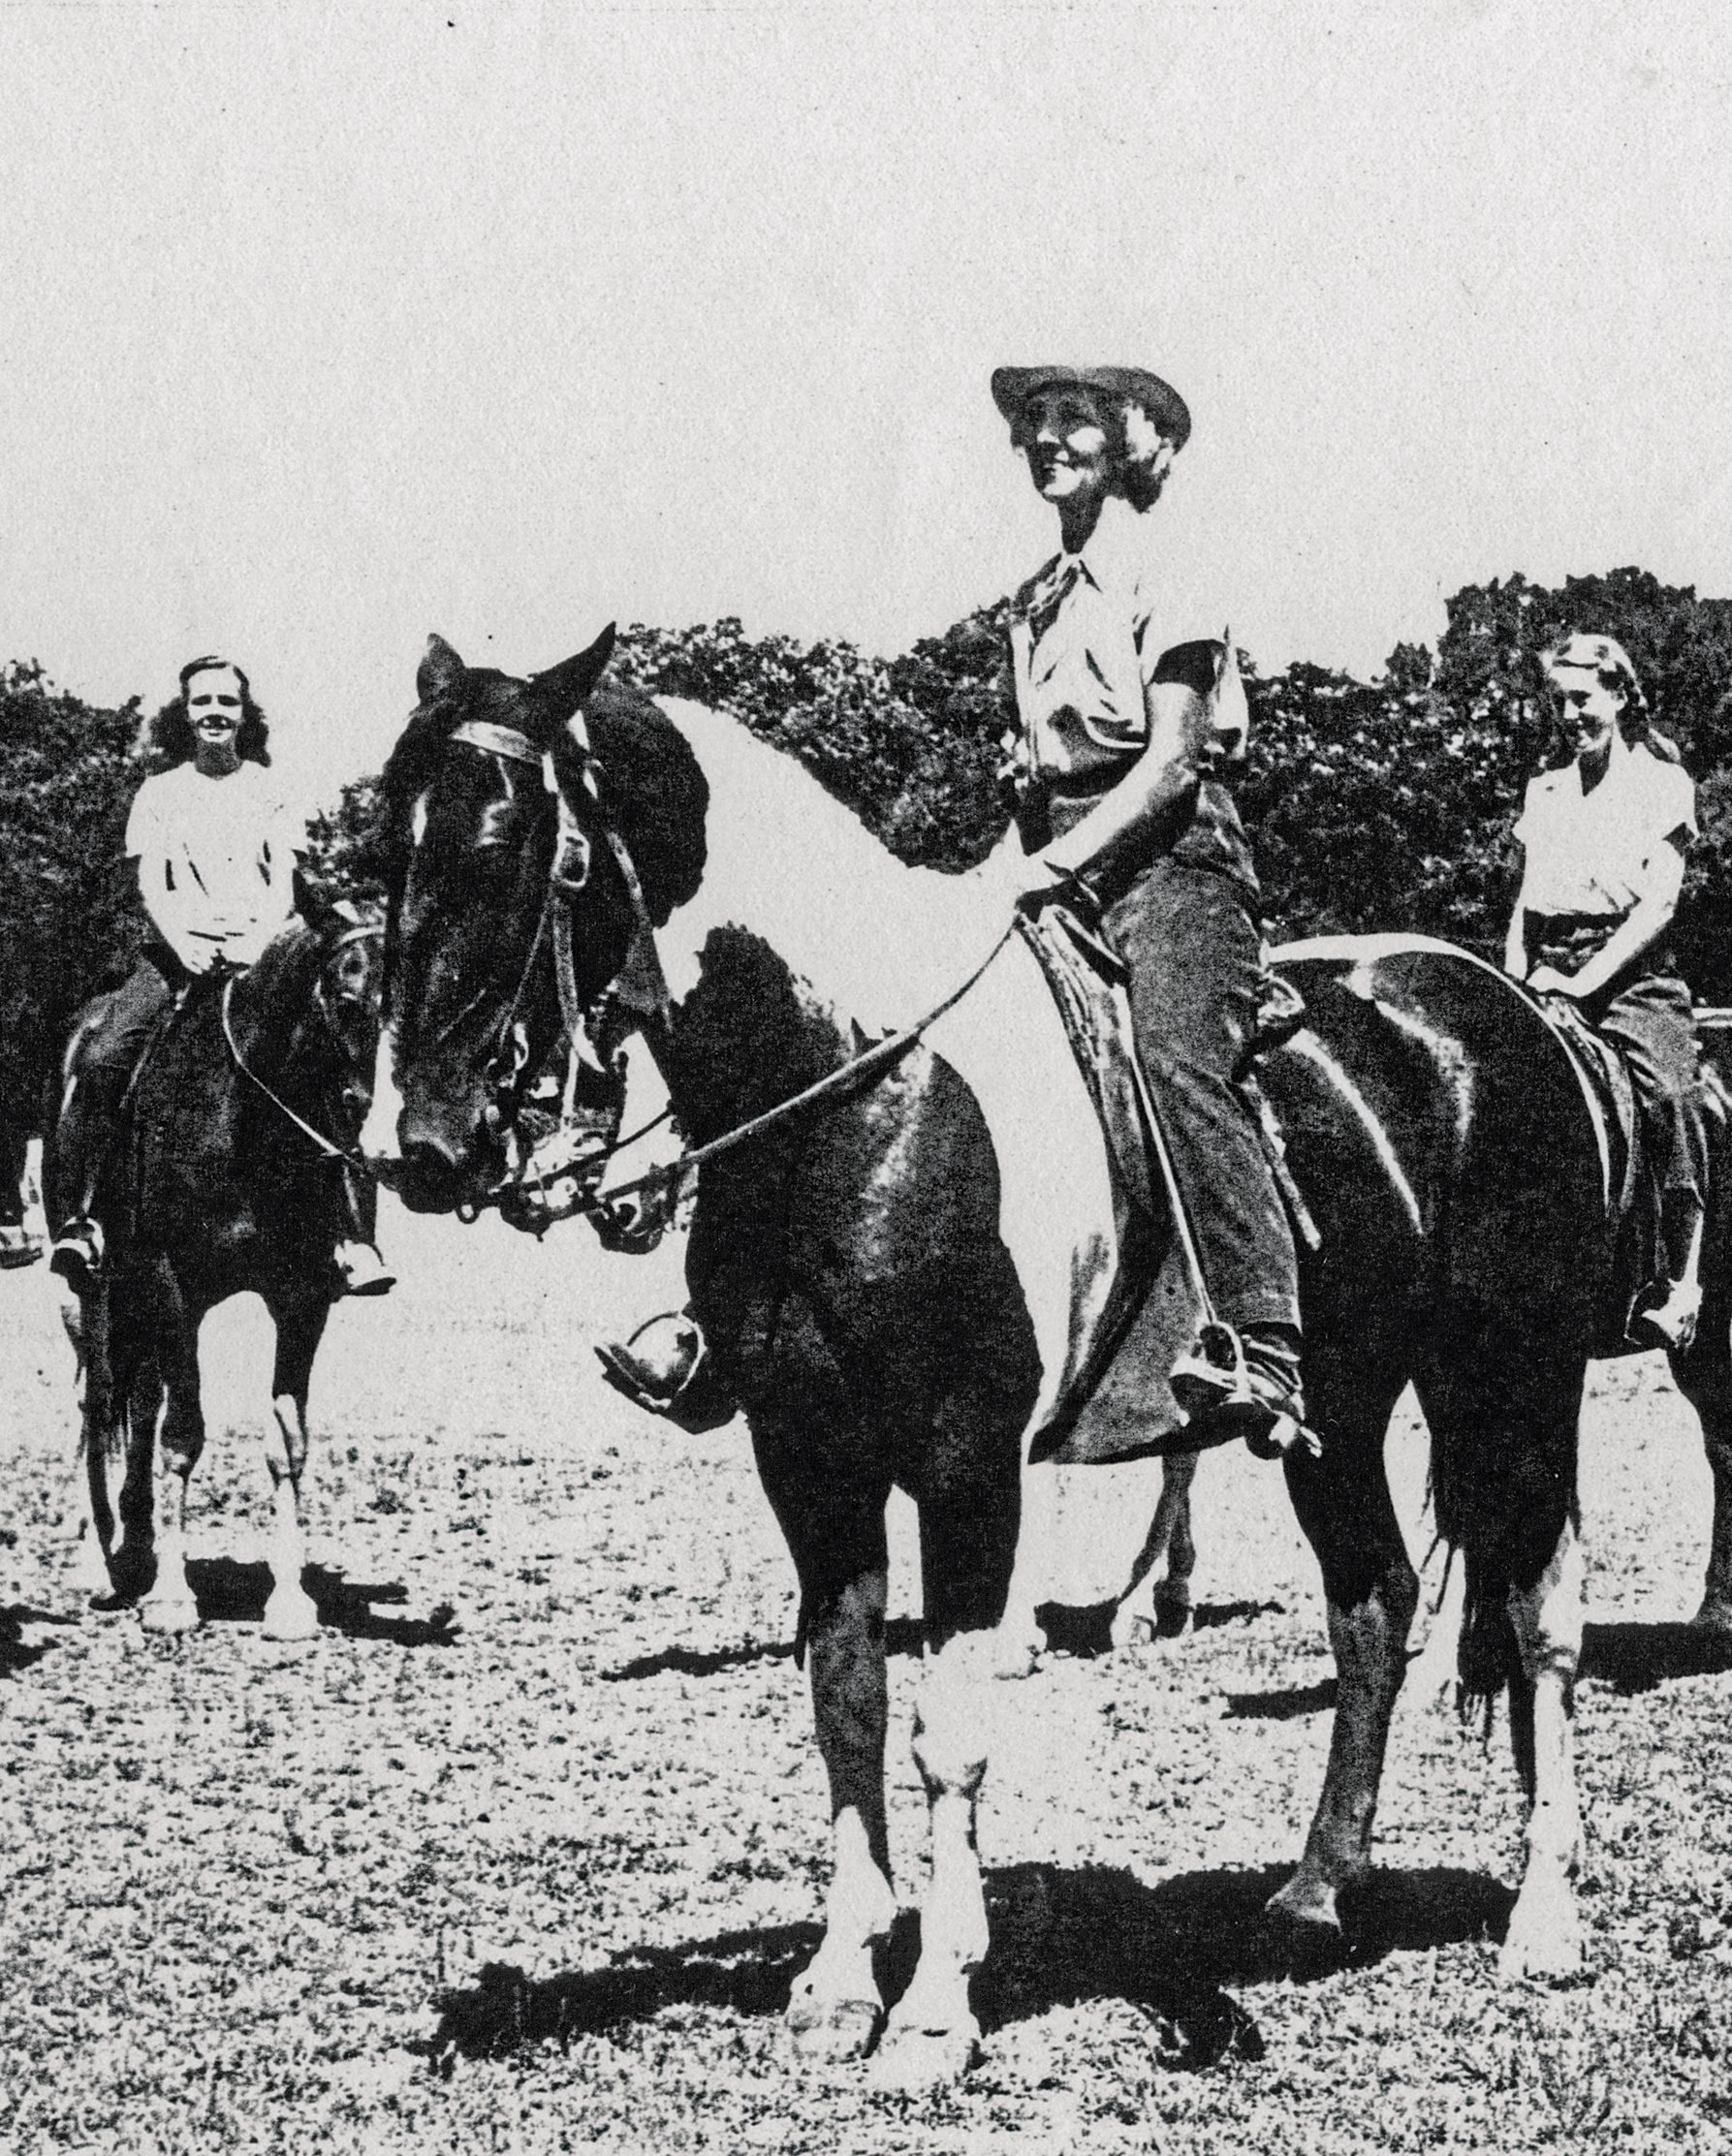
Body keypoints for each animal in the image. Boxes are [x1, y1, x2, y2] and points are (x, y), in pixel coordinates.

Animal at [65, 905, 386, 1630]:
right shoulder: (170, 1283)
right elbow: (184, 1435)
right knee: (99, 1406)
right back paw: (98, 1566)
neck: (240, 1118)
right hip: (95, 1293)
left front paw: (290, 1602)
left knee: (140, 1401)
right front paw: (173, 1599)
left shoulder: (300, 1298)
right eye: (348, 998)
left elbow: (286, 1440)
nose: (377, 1116)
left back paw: (138, 1544)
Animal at [356, 634, 1708, 2086]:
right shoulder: (808, 1458)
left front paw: (932, 2011)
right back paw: (1312, 1890)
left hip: (1515, 1385)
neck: (868, 1087)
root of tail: (1521, 1019)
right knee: (1374, 1606)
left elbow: (948, 1732)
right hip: (1339, 1408)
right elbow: (845, 1702)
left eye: (507, 842)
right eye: (385, 841)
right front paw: (838, 1980)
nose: (412, 1144)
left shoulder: (965, 1463)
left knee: (1541, 1617)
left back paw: (1542, 1919)